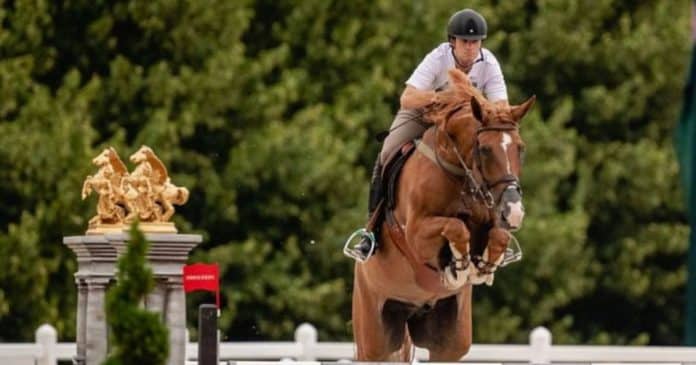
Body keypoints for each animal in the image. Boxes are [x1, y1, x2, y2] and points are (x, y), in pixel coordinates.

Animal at [350, 67, 536, 360]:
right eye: (484, 149)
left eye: (521, 148)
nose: (514, 211)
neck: (459, 173)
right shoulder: (416, 234)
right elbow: (455, 227)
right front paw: (459, 266)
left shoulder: (492, 220)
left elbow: (498, 236)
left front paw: (482, 267)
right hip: (373, 335)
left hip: (448, 339)